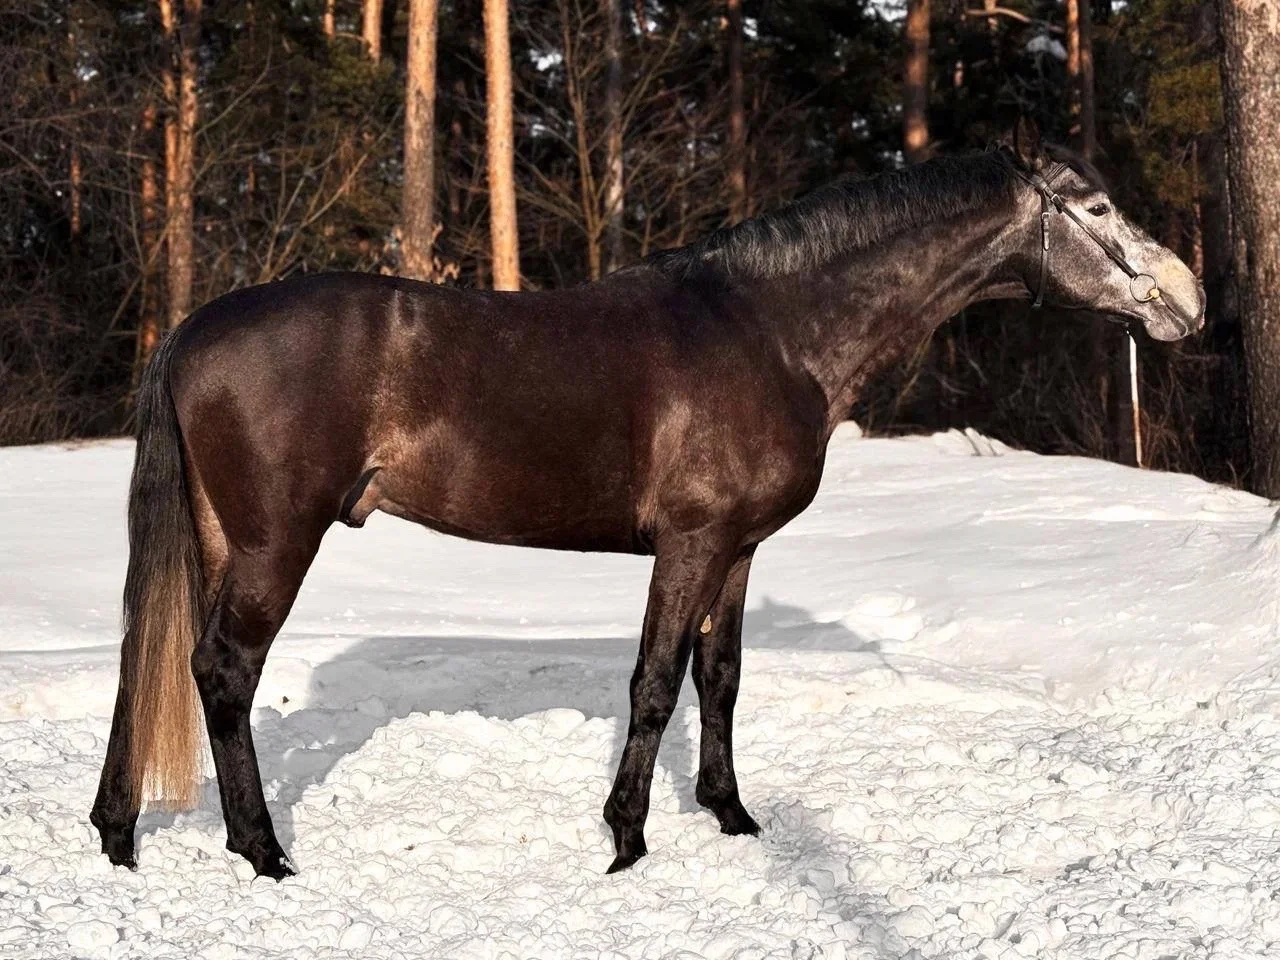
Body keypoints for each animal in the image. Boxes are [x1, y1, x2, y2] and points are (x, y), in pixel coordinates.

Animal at [91, 119, 1204, 880]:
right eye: (1094, 208)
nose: (1188, 301)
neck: (772, 330)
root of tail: (194, 331)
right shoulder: (691, 542)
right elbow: (655, 684)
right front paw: (625, 837)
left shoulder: (739, 550)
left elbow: (721, 679)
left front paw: (730, 813)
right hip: (275, 542)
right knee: (223, 673)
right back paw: (260, 850)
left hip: (220, 538)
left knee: (157, 667)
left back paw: (119, 832)